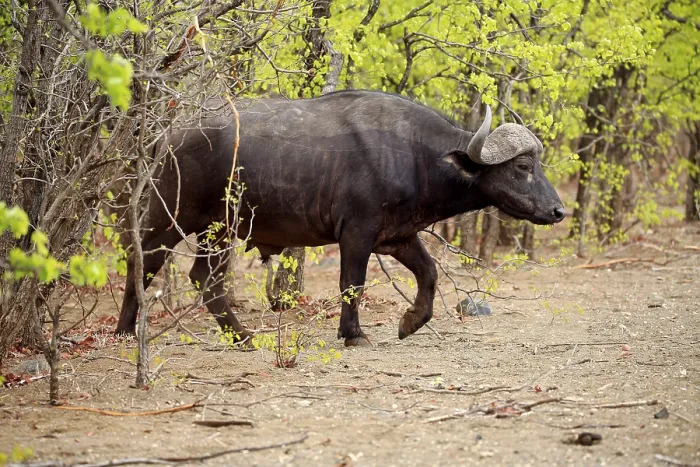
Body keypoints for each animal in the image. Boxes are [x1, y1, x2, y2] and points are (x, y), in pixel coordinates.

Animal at [116, 90, 564, 346]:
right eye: (523, 166)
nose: (558, 210)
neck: (416, 155)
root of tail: (170, 134)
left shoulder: (398, 236)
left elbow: (430, 273)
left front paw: (410, 321)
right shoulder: (357, 234)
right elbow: (353, 284)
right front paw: (354, 334)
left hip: (218, 230)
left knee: (201, 279)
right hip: (172, 218)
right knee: (146, 262)